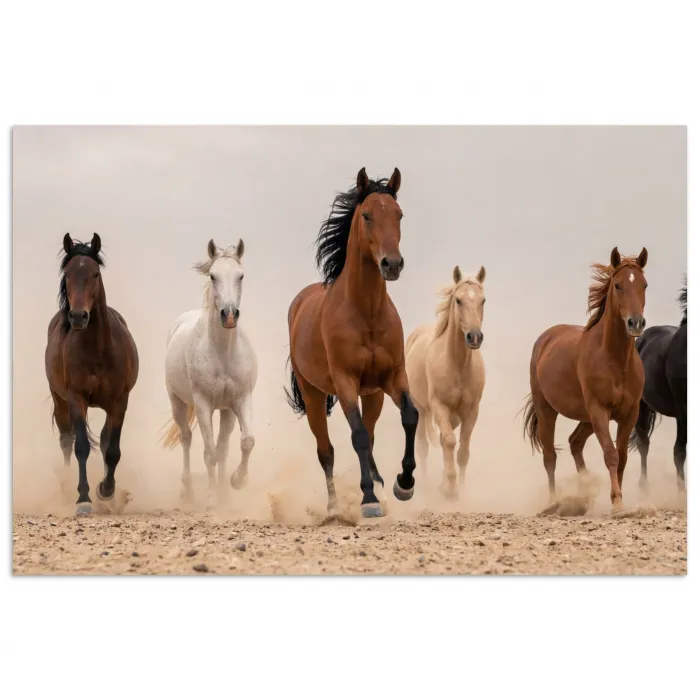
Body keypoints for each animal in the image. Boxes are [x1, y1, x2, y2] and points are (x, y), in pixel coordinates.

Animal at [45, 233, 139, 515]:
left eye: (95, 273)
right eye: (67, 273)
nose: (78, 316)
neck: (97, 349)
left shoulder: (119, 402)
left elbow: (113, 450)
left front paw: (106, 491)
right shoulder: (76, 399)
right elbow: (81, 447)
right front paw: (83, 498)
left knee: (106, 440)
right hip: (60, 401)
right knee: (66, 440)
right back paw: (66, 487)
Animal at [162, 239, 257, 508]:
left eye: (241, 275)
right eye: (213, 276)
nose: (229, 315)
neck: (222, 354)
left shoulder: (239, 401)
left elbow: (244, 442)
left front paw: (235, 483)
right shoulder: (204, 404)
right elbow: (210, 453)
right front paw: (213, 499)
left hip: (225, 411)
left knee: (222, 447)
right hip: (178, 403)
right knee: (186, 438)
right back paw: (188, 491)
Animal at [285, 167, 419, 519]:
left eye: (399, 215)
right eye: (367, 215)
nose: (392, 264)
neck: (366, 313)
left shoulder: (393, 377)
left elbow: (410, 416)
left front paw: (404, 484)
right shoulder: (344, 381)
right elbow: (355, 435)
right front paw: (368, 500)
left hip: (373, 395)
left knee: (370, 436)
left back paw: (382, 485)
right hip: (314, 395)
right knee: (326, 450)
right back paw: (334, 507)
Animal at [405, 265, 486, 499]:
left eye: (483, 300)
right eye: (458, 300)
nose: (474, 337)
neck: (457, 364)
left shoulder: (471, 411)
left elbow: (463, 450)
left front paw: (460, 488)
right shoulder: (439, 406)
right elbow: (449, 441)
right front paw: (450, 489)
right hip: (421, 409)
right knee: (423, 446)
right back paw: (424, 483)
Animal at [522, 246, 648, 516]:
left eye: (644, 284)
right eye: (618, 285)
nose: (636, 323)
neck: (616, 359)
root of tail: (546, 338)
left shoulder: (629, 413)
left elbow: (622, 457)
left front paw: (620, 500)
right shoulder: (599, 410)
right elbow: (610, 455)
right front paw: (617, 503)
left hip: (586, 418)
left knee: (575, 442)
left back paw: (584, 492)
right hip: (548, 411)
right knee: (550, 456)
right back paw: (553, 502)